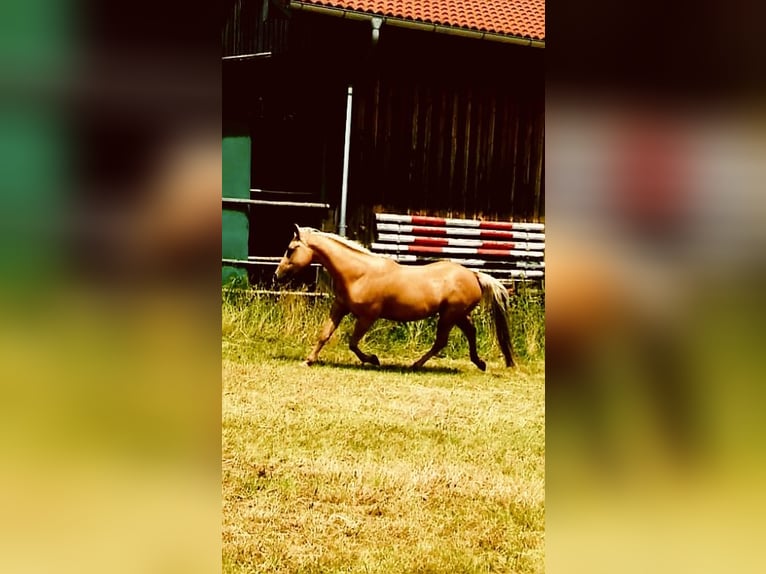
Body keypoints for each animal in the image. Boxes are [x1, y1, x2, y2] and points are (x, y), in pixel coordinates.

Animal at [274, 224, 515, 370]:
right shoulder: (340, 307)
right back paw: (479, 363)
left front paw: (373, 359)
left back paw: (416, 365)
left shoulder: (368, 316)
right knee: (470, 333)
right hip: (457, 315)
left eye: (290, 249)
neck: (359, 273)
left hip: (449, 315)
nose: (277, 275)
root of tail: (474, 275)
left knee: (441, 341)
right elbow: (325, 334)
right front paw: (308, 360)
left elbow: (352, 342)